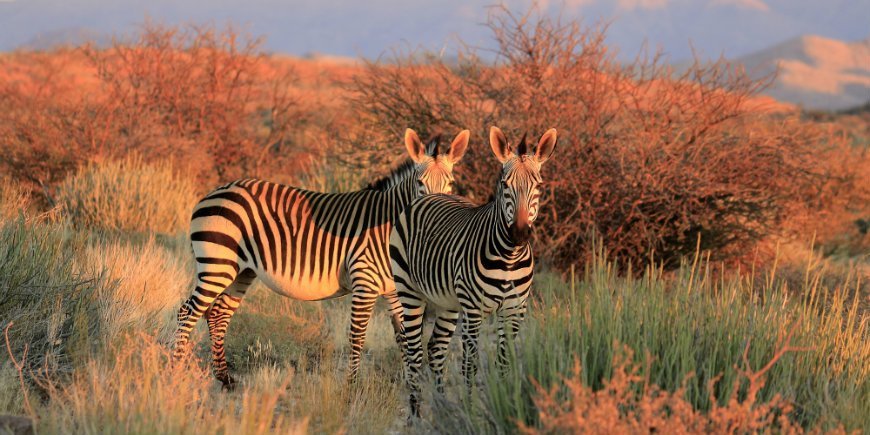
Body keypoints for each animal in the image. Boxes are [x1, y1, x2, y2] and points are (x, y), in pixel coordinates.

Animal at [172, 128, 470, 388]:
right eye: (419, 184)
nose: (435, 214)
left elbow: (405, 337)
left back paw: (225, 379)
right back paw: (175, 371)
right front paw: (351, 388)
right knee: (187, 312)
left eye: (450, 184)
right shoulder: (365, 281)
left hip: (240, 271)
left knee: (218, 314)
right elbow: (357, 336)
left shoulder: (394, 289)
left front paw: (411, 382)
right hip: (217, 265)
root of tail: (213, 192)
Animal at [390, 126, 557, 417]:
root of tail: (430, 196)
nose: (520, 233)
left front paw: (507, 405)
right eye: (504, 185)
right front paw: (469, 411)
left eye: (539, 186)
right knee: (413, 352)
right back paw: (416, 414)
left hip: (448, 302)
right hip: (409, 292)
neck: (509, 257)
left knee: (436, 348)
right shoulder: (474, 310)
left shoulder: (515, 310)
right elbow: (470, 365)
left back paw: (443, 409)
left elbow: (504, 362)